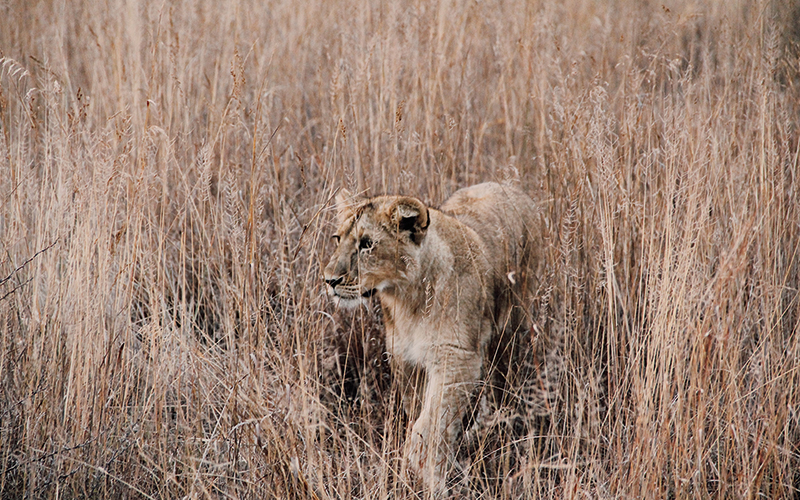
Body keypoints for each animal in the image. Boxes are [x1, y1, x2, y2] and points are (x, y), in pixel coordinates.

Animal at [324, 181, 536, 492]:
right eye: (338, 239)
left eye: (367, 244)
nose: (329, 280)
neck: (406, 298)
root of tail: (504, 183)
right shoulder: (404, 359)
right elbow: (419, 412)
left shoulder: (457, 358)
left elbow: (432, 422)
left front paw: (427, 472)